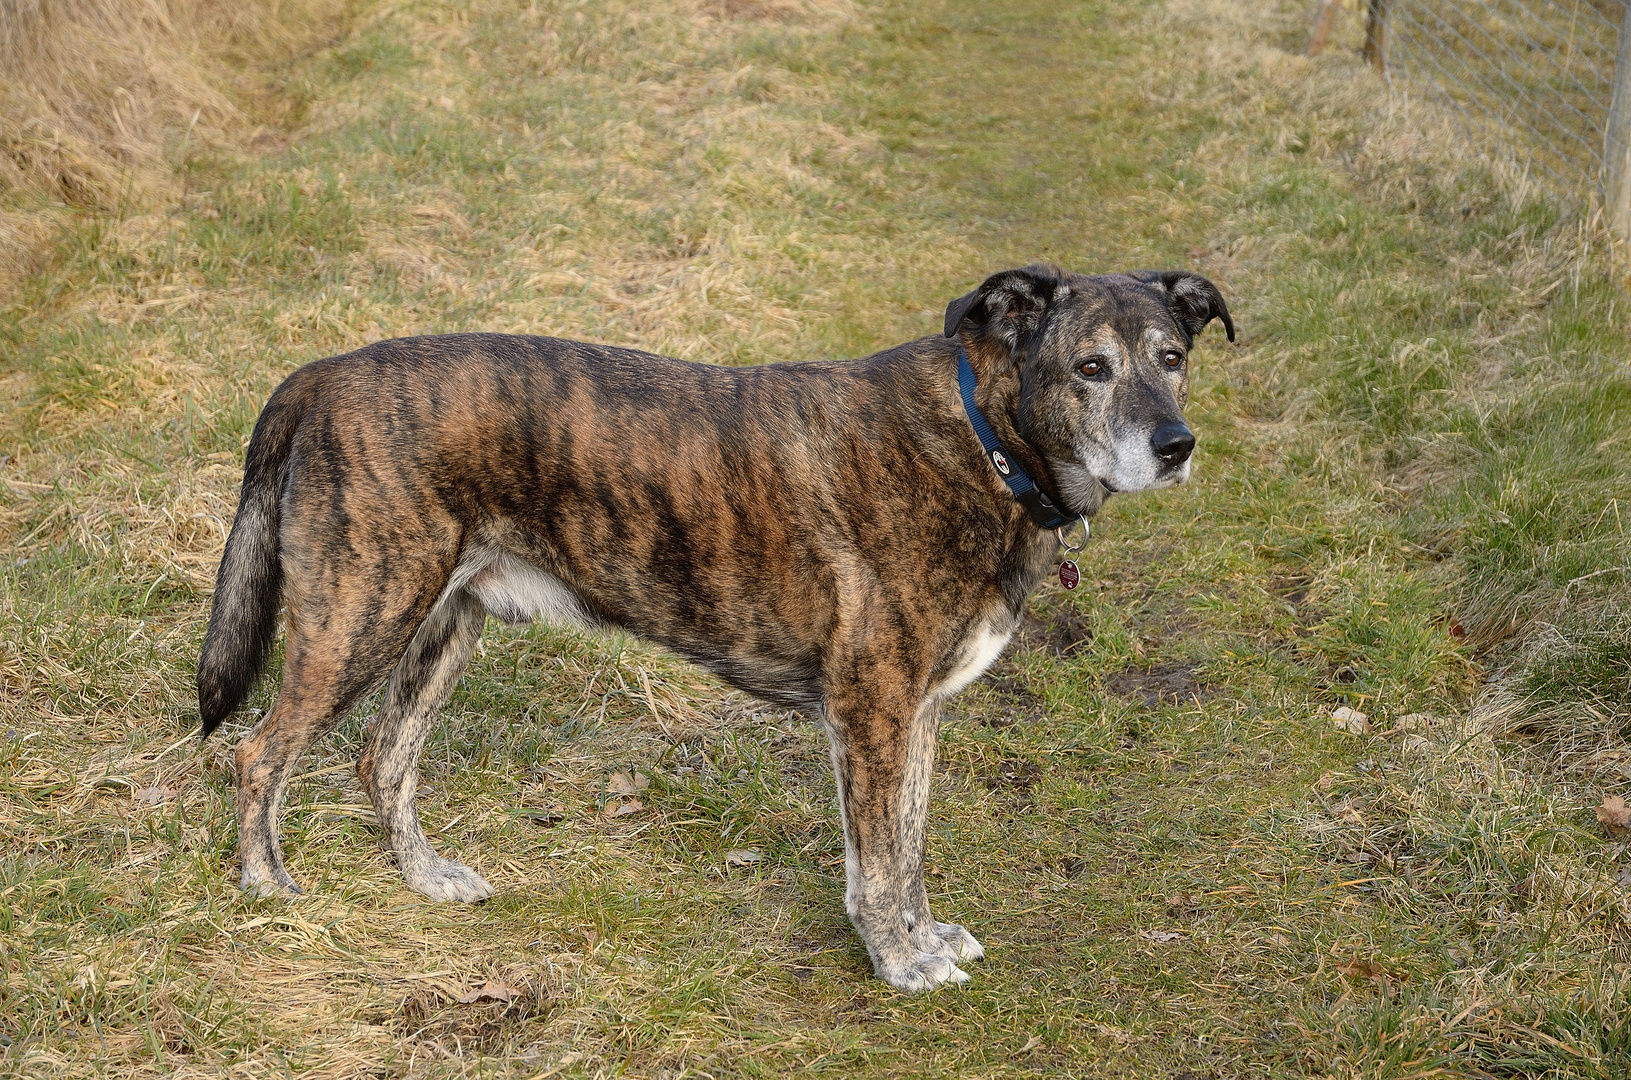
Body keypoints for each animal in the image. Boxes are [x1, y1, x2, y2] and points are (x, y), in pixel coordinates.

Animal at [197, 265, 1226, 991]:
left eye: (1171, 357)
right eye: (1089, 368)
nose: (1176, 448)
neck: (983, 441)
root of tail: (316, 379)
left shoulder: (917, 712)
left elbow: (911, 846)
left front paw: (923, 934)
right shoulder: (871, 713)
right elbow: (877, 861)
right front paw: (898, 962)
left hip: (444, 626)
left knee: (383, 758)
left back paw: (425, 878)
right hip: (360, 618)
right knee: (257, 754)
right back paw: (267, 887)